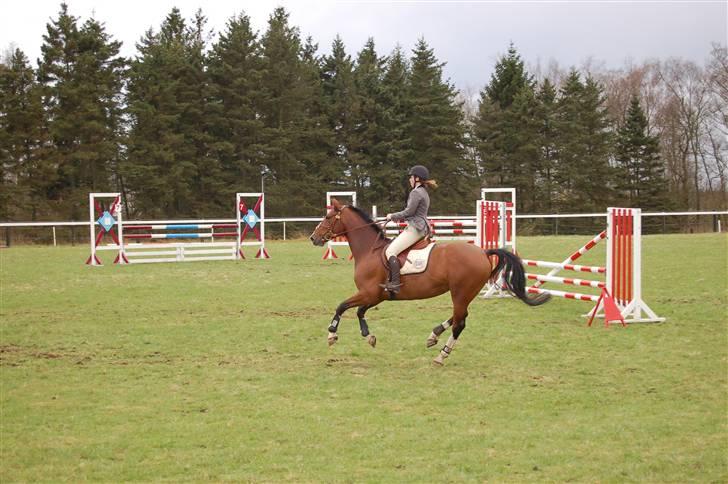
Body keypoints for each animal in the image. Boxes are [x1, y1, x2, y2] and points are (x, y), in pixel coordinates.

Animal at [308, 199, 552, 364]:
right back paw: (433, 335)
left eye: (328, 218)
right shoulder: (376, 295)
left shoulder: (369, 293)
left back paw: (441, 355)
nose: (313, 238)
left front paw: (332, 334)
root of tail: (483, 252)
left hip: (461, 292)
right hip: (465, 293)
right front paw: (369, 337)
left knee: (460, 322)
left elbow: (342, 306)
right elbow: (359, 311)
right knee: (459, 316)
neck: (370, 250)